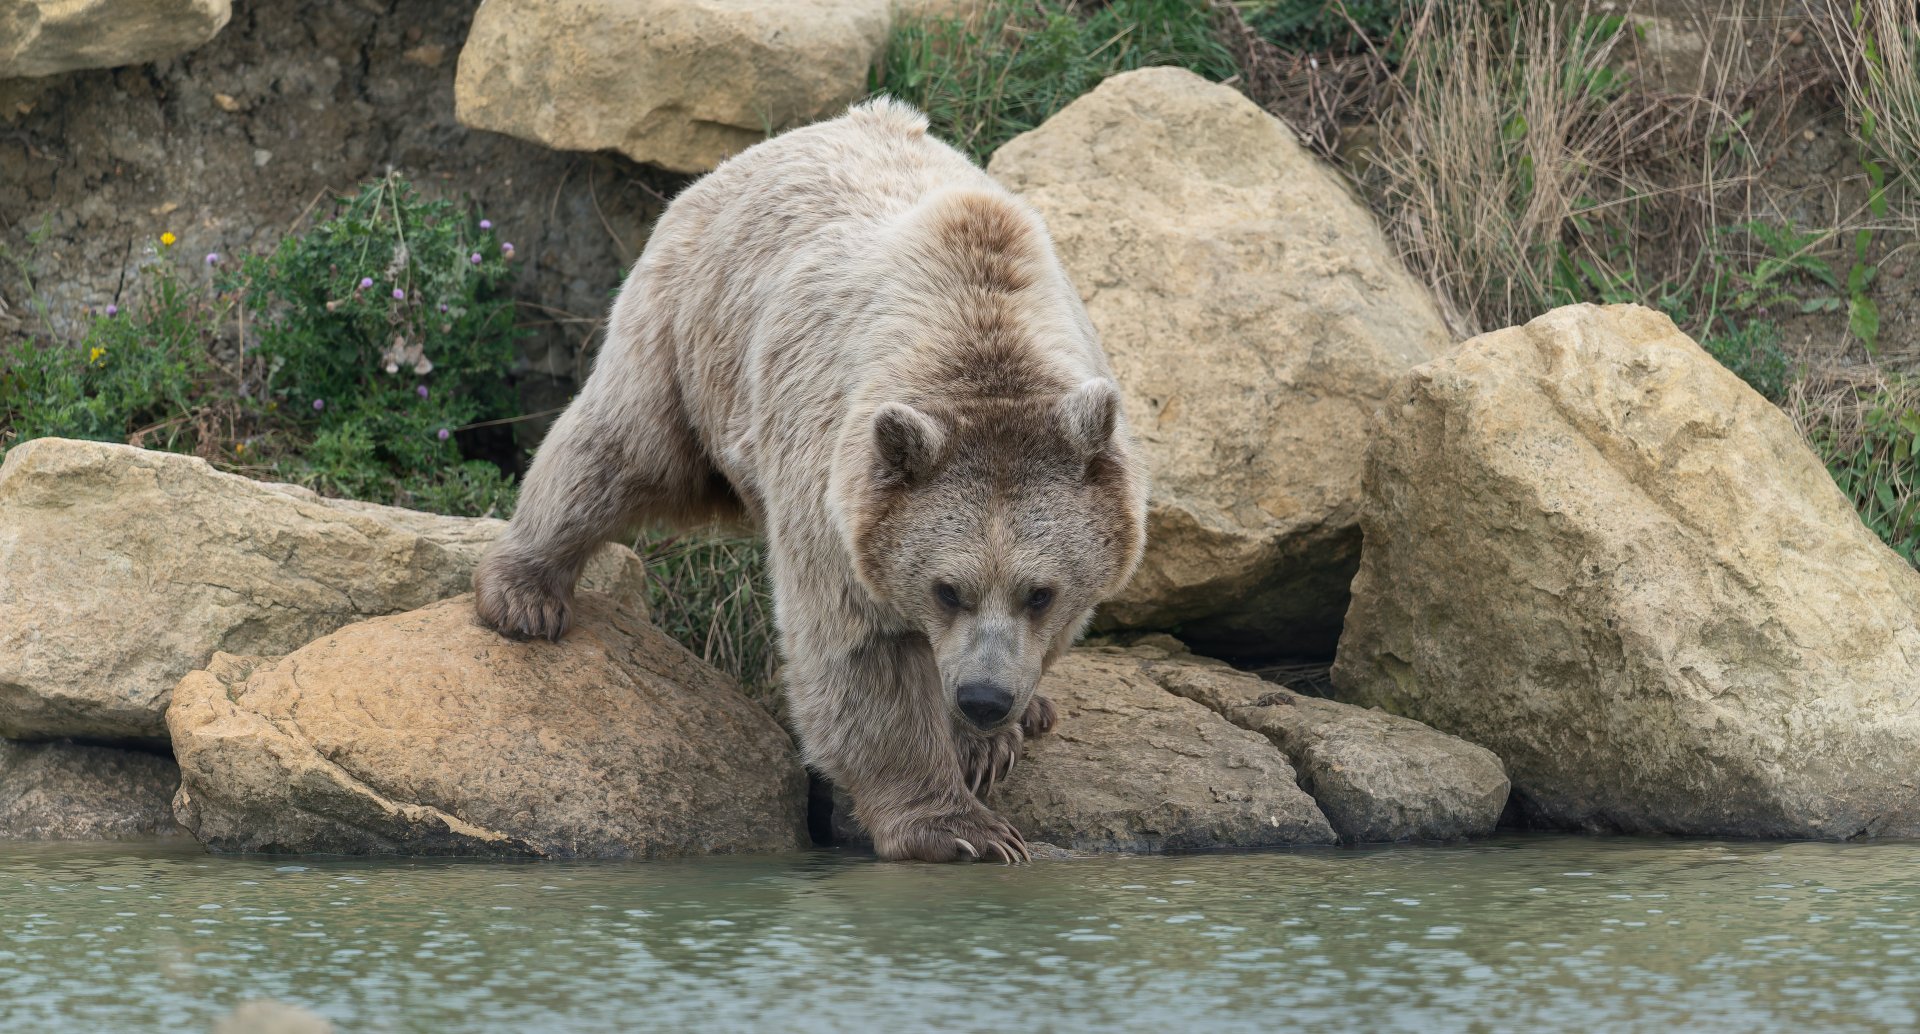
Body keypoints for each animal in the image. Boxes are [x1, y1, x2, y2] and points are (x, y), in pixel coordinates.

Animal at [473, 98, 1149, 863]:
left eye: (1040, 592)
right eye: (947, 589)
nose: (984, 696)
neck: (979, 329)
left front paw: (988, 743)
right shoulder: (833, 488)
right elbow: (856, 655)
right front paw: (960, 828)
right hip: (691, 335)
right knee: (616, 450)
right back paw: (525, 594)